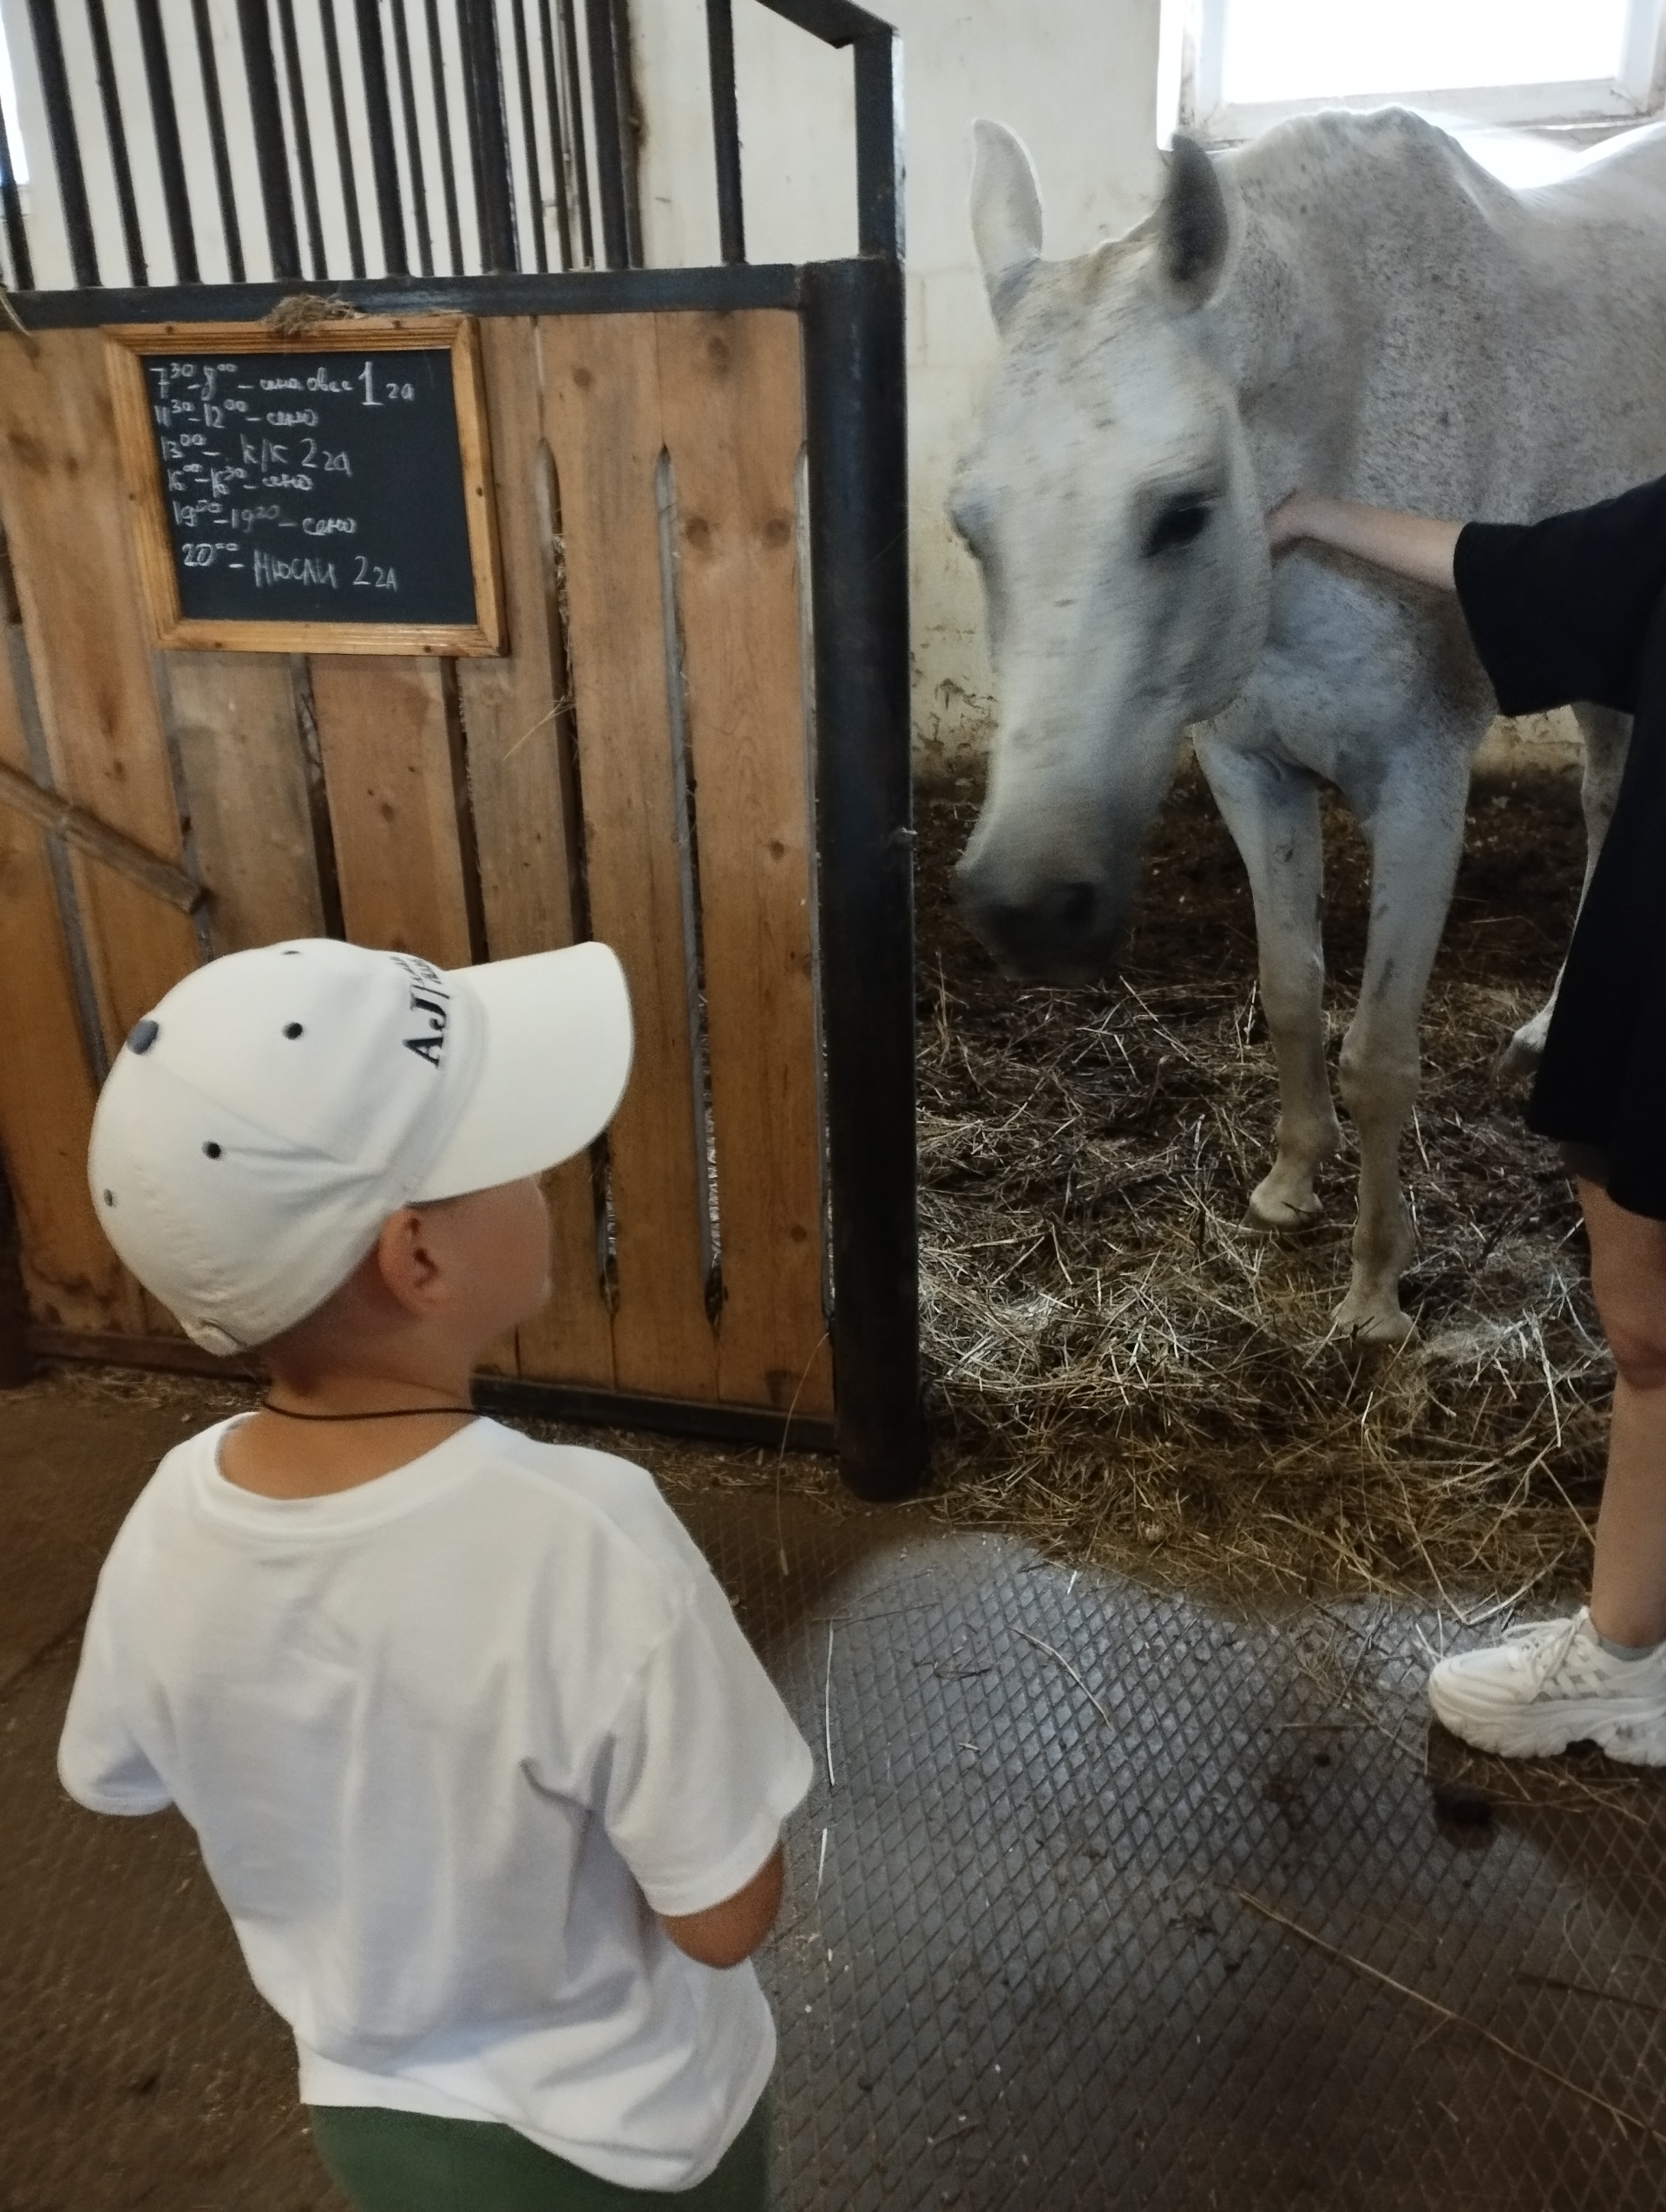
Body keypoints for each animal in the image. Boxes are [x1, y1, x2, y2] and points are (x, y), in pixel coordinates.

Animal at [955, 112, 1663, 1336]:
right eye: (968, 528)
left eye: (1184, 512)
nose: (1031, 908)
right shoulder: (1250, 768)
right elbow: (1291, 993)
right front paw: (1291, 1185)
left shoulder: (1421, 792)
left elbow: (1381, 1052)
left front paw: (1375, 1289)